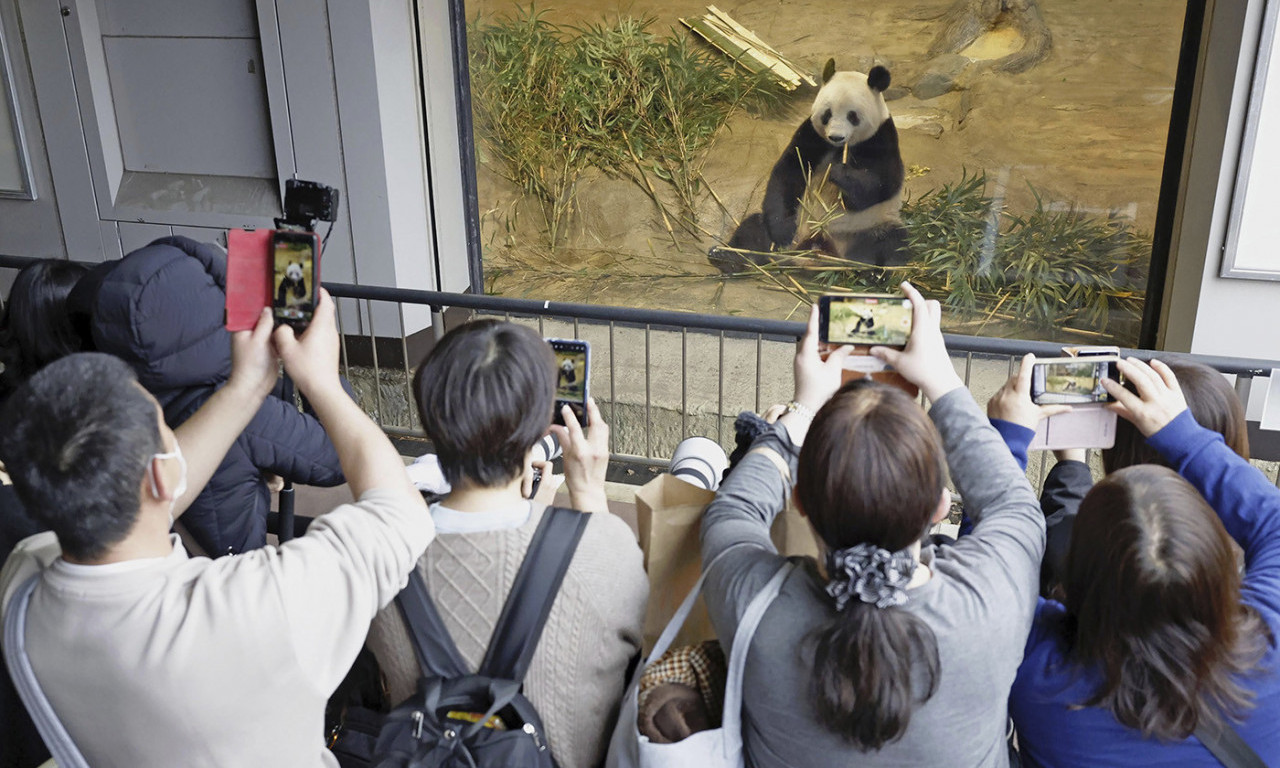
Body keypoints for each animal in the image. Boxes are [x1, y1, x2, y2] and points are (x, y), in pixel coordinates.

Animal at [711, 62, 911, 272]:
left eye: (852, 116)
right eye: (827, 114)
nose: (836, 137)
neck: (839, 148)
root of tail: (817, 247)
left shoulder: (881, 137)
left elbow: (882, 184)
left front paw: (839, 172)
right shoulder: (812, 135)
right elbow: (789, 173)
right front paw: (782, 230)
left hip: (866, 226)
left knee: (890, 241)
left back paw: (873, 272)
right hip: (797, 228)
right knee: (754, 228)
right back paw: (728, 257)